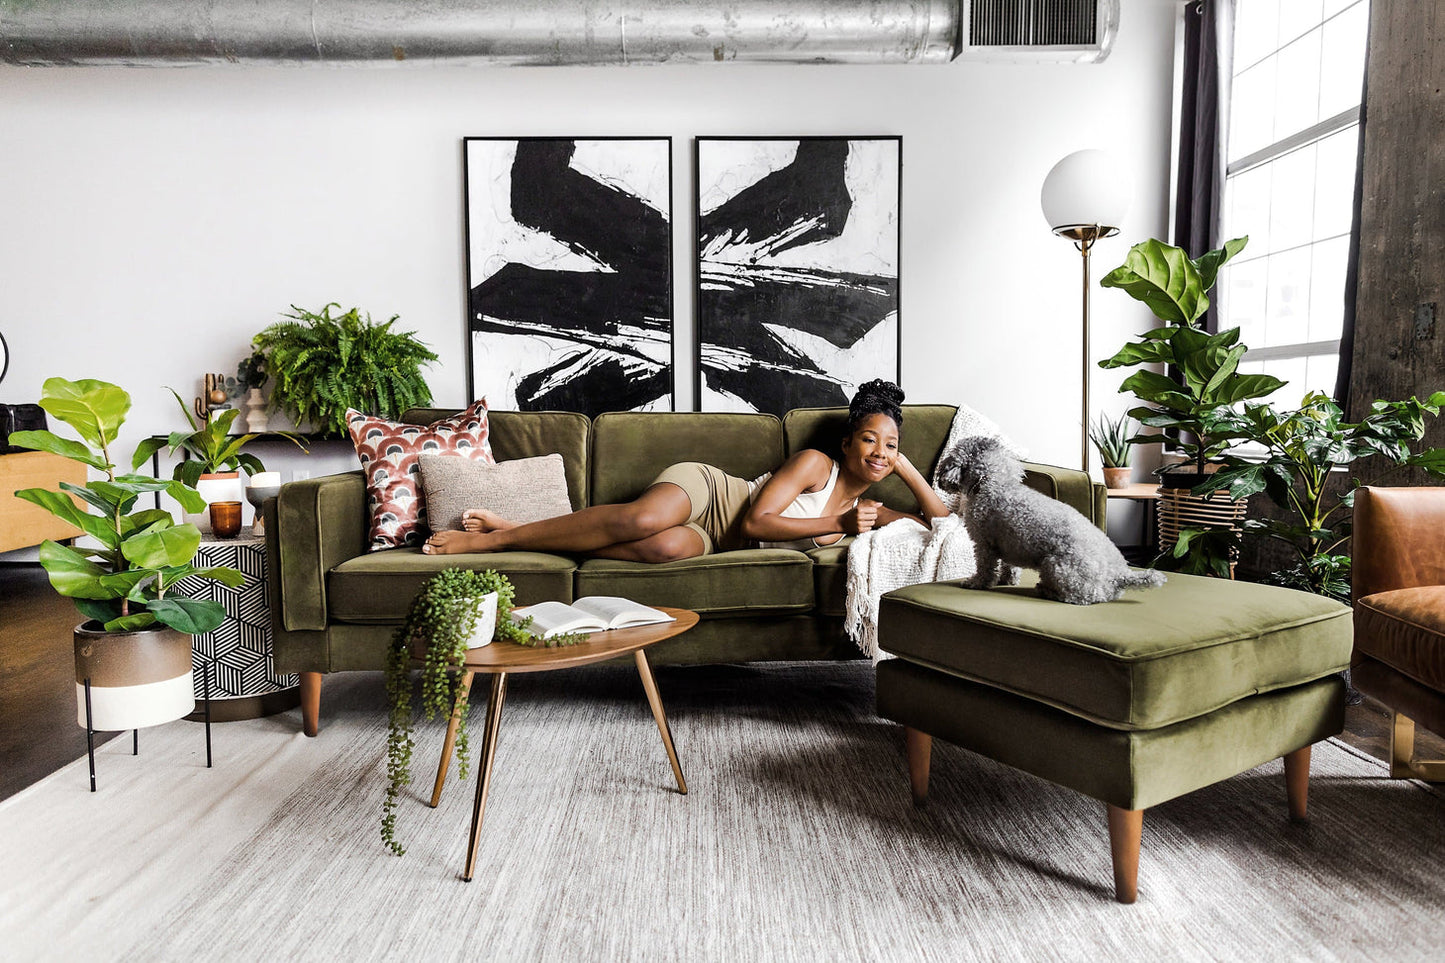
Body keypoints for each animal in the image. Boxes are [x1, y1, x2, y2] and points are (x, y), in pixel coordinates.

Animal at [936, 433, 1161, 601]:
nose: (941, 477)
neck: (993, 484)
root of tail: (1119, 576)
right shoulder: (1010, 542)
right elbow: (1010, 566)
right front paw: (1007, 580)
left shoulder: (984, 544)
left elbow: (985, 568)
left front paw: (976, 583)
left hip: (1055, 566)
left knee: (1083, 596)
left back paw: (1048, 591)